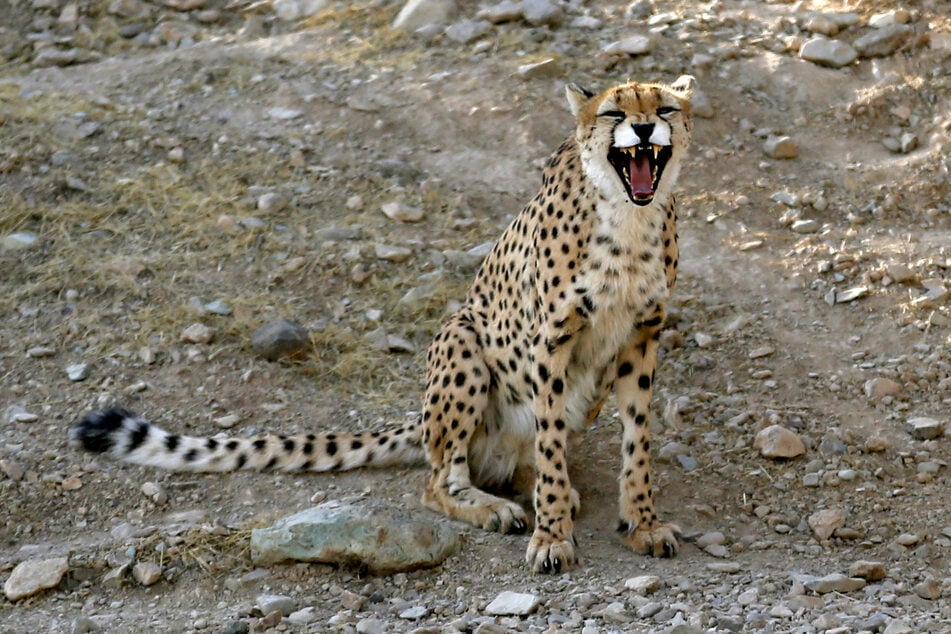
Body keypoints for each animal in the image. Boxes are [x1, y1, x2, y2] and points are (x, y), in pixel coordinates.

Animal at [71, 76, 695, 573]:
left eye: (664, 108)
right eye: (613, 113)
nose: (643, 129)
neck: (628, 217)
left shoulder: (640, 338)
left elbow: (636, 441)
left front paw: (641, 523)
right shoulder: (551, 340)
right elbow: (553, 444)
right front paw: (552, 536)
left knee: (521, 459)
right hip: (461, 336)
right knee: (437, 481)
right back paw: (498, 506)